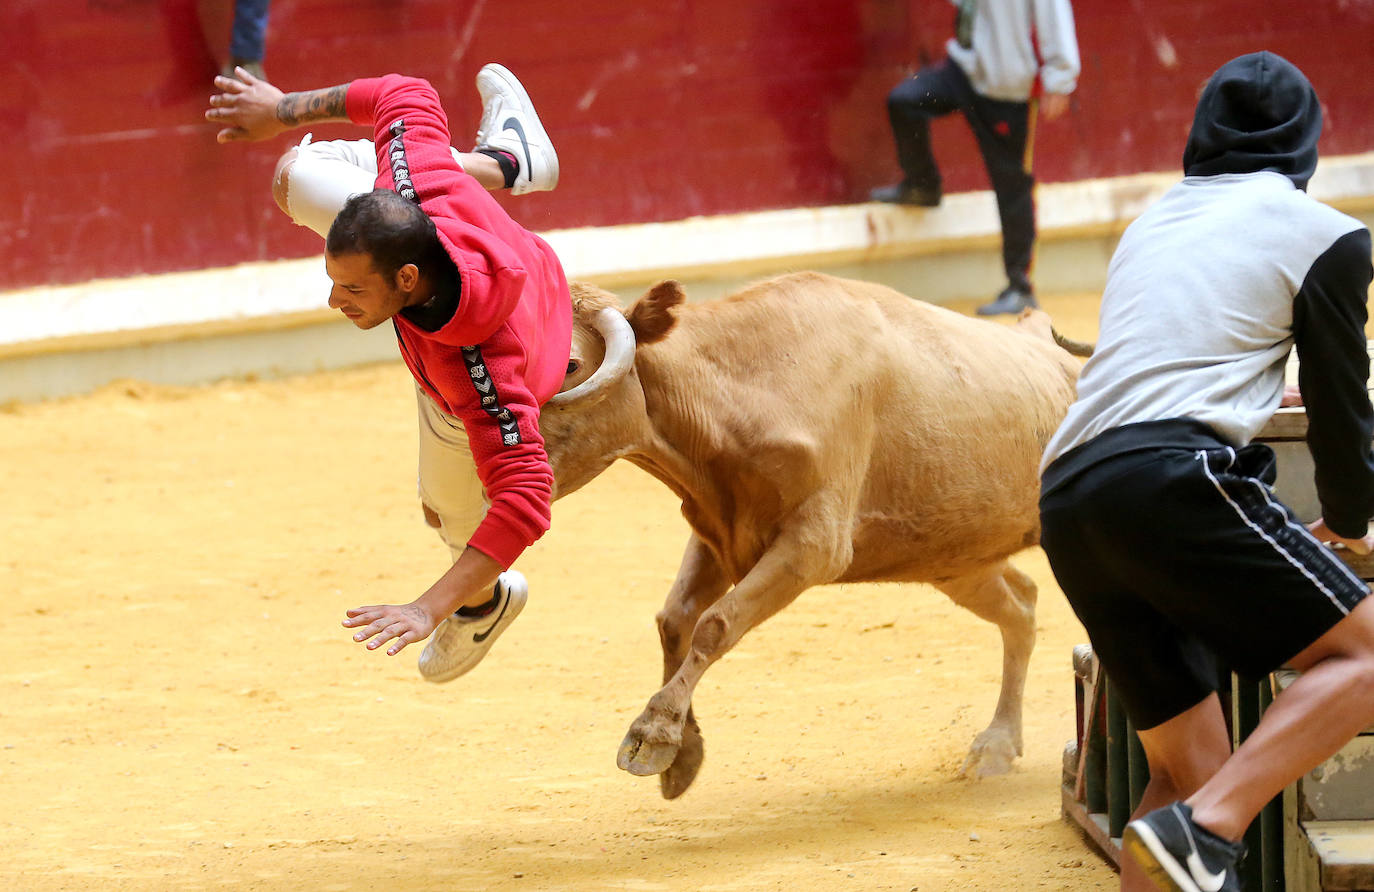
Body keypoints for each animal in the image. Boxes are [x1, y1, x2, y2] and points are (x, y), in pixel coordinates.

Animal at [535, 270, 1082, 802]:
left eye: (570, 364)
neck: (740, 391)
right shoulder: (717, 533)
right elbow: (675, 620)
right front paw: (683, 754)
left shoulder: (813, 546)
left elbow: (715, 624)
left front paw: (651, 736)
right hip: (955, 559)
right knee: (1022, 605)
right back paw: (998, 745)